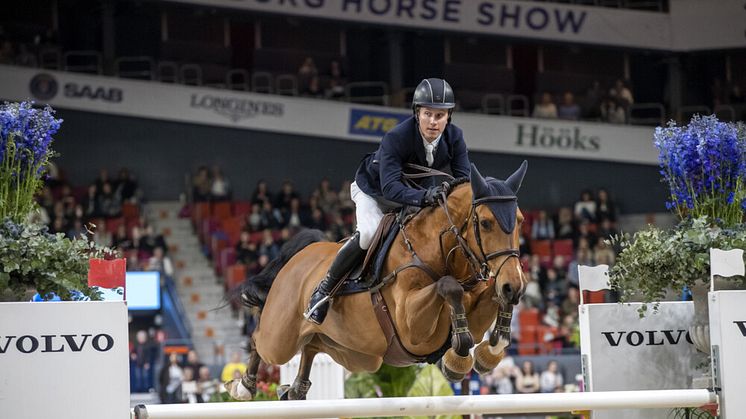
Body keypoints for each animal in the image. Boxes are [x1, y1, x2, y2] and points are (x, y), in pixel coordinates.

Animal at [225, 162, 524, 402]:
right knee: (259, 340)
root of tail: (301, 254)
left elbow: (486, 298)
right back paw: (244, 386)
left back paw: (295, 389)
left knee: (311, 346)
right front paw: (458, 359)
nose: (514, 286)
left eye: (520, 220)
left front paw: (492, 349)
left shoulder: (475, 313)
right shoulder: (411, 325)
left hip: (356, 354)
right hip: (280, 339)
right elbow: (448, 287)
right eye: (485, 223)